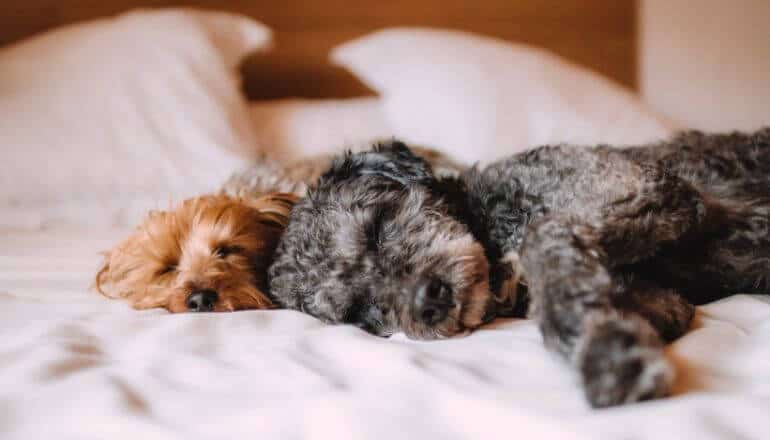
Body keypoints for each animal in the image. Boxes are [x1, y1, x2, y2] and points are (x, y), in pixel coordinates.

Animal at [268, 129, 768, 408]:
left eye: (376, 227)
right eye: (360, 313)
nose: (428, 303)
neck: (491, 219)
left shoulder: (646, 186)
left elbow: (541, 236)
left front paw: (609, 360)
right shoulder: (666, 301)